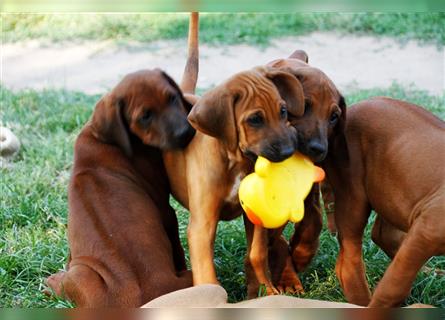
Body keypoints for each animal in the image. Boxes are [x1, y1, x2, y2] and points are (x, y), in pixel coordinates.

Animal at [44, 70, 194, 308]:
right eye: (145, 116)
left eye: (172, 98)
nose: (185, 133)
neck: (103, 139)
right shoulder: (166, 210)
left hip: (83, 271)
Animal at [163, 66, 306, 298]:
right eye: (255, 119)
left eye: (283, 111)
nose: (288, 152)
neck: (236, 161)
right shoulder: (202, 225)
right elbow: (206, 274)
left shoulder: (254, 216)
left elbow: (256, 254)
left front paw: (263, 291)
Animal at [322, 98, 444, 308]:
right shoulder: (427, 231)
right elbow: (394, 287)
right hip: (354, 195)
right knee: (349, 258)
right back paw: (360, 301)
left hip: (390, 190)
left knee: (382, 235)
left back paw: (432, 273)